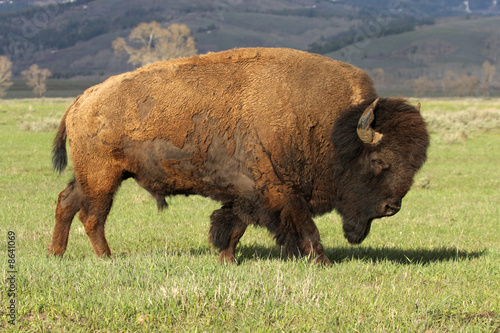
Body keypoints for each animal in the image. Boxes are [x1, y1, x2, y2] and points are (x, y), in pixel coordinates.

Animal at [48, 47, 428, 264]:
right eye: (380, 162)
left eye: (415, 165)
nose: (391, 207)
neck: (333, 128)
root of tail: (81, 101)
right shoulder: (278, 191)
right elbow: (304, 228)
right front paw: (321, 261)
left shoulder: (246, 193)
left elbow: (232, 226)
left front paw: (226, 260)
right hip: (103, 177)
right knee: (92, 216)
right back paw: (106, 259)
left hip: (91, 176)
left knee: (67, 202)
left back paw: (56, 254)